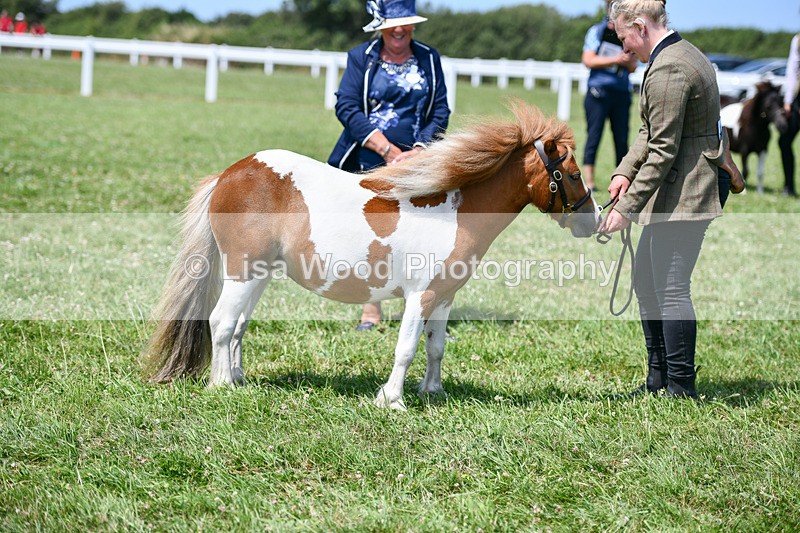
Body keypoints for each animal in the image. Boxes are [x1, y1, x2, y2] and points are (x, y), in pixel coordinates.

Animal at [143, 102, 601, 410]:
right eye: (574, 174)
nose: (594, 220)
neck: (454, 212)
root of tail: (229, 174)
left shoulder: (445, 297)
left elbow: (436, 347)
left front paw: (432, 391)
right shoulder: (420, 296)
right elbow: (407, 348)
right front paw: (392, 400)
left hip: (259, 274)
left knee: (238, 326)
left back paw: (238, 378)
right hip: (241, 272)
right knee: (221, 322)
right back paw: (221, 385)